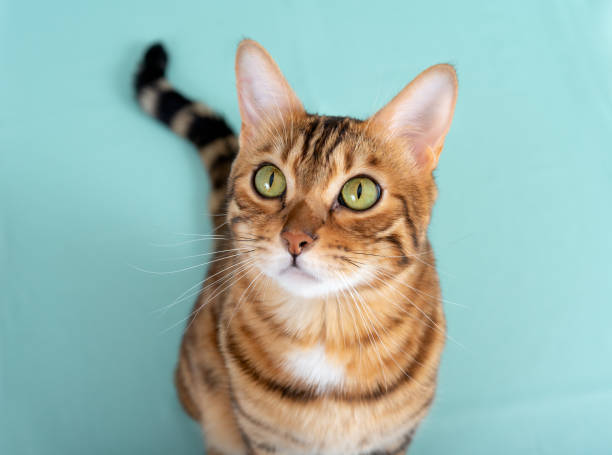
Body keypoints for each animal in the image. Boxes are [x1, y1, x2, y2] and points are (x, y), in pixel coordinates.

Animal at [135, 39, 460, 455]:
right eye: (269, 180)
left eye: (360, 192)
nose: (294, 239)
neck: (324, 331)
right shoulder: (263, 439)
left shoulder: (392, 439)